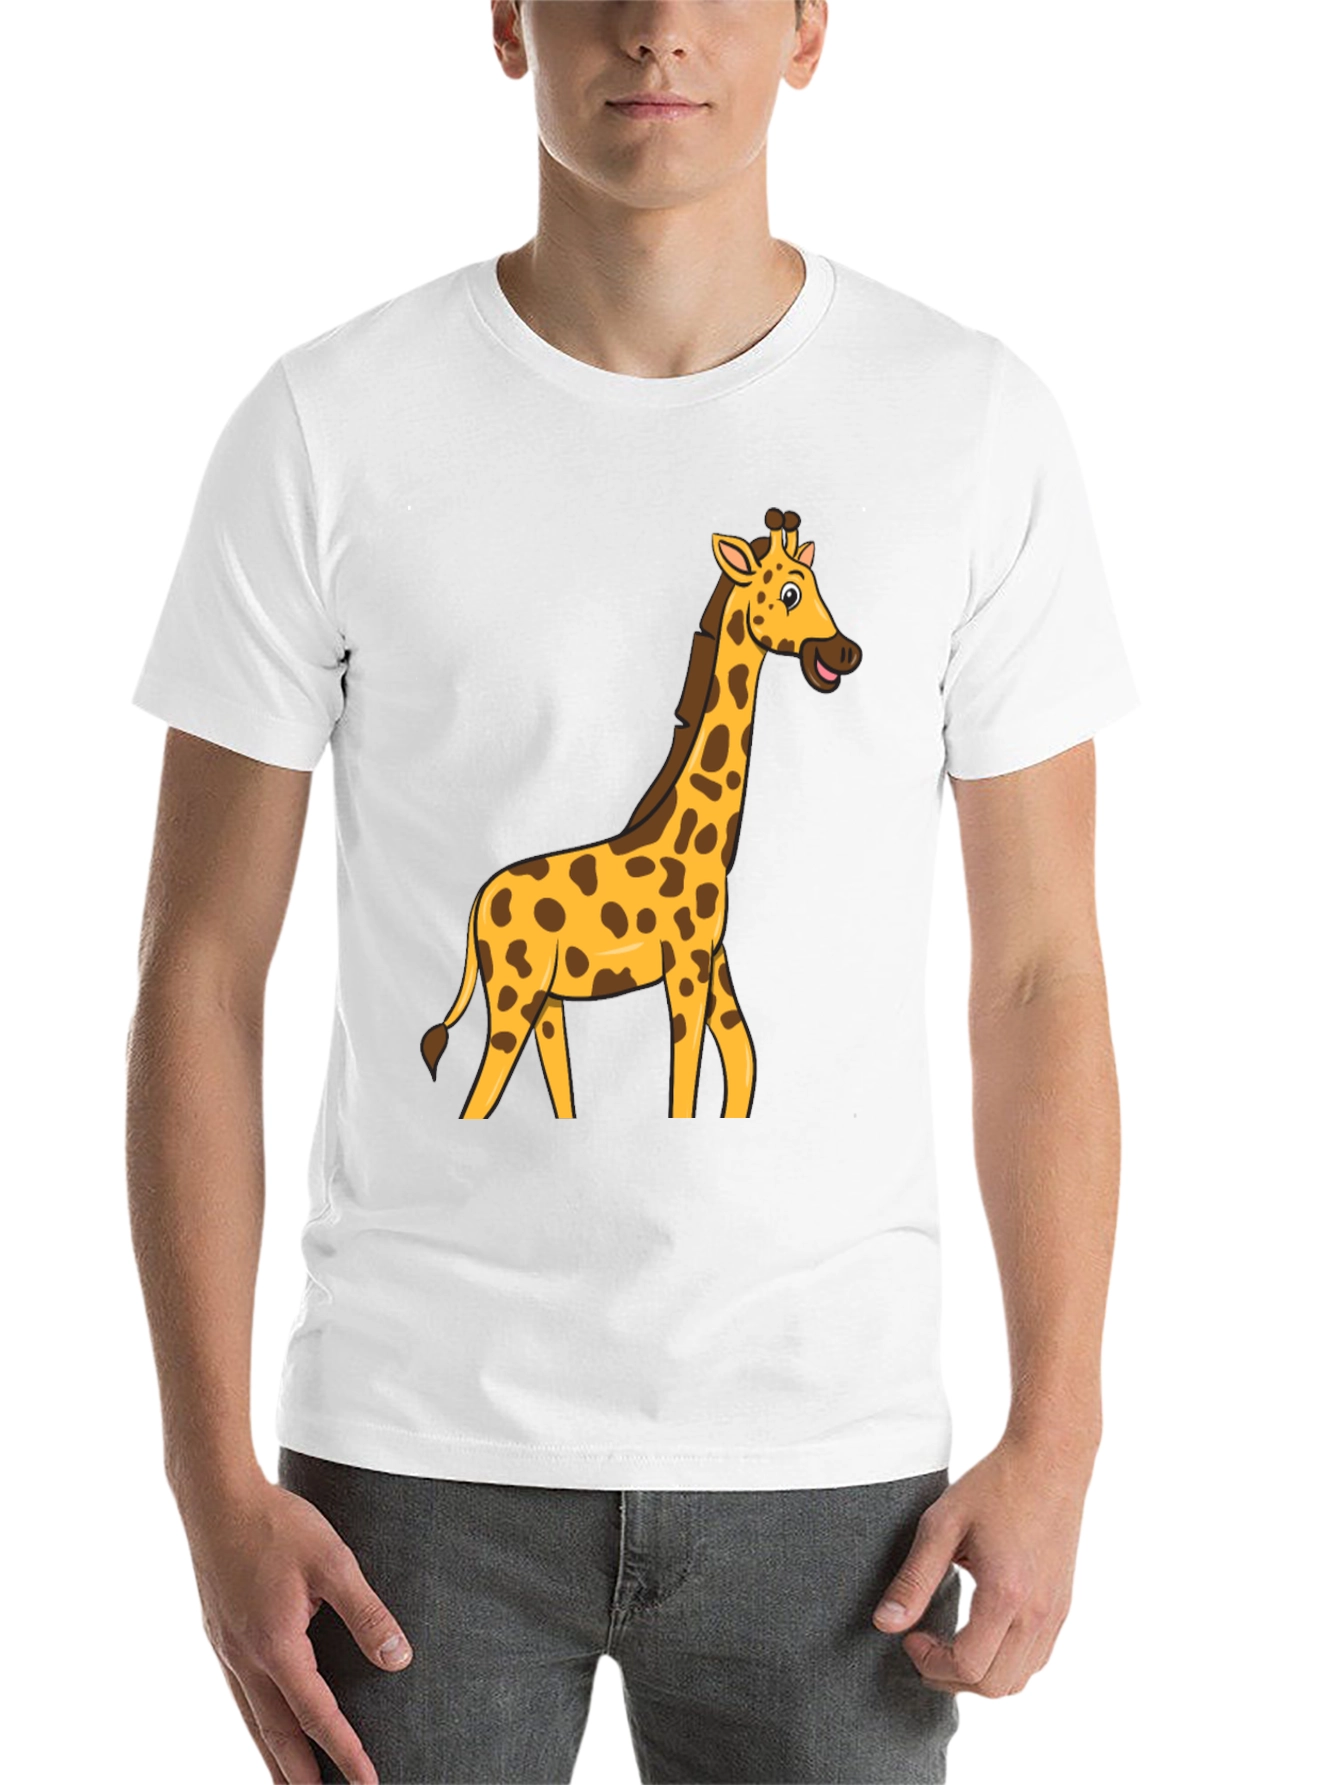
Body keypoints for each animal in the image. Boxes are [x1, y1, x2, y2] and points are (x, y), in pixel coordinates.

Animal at [419, 506, 862, 1118]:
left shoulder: (713, 959)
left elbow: (741, 1060)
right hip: (515, 991)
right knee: (478, 1098)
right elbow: (685, 1085)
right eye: (791, 592)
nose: (846, 652)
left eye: (818, 586)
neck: (703, 842)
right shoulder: (686, 965)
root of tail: (477, 905)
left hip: (546, 1001)